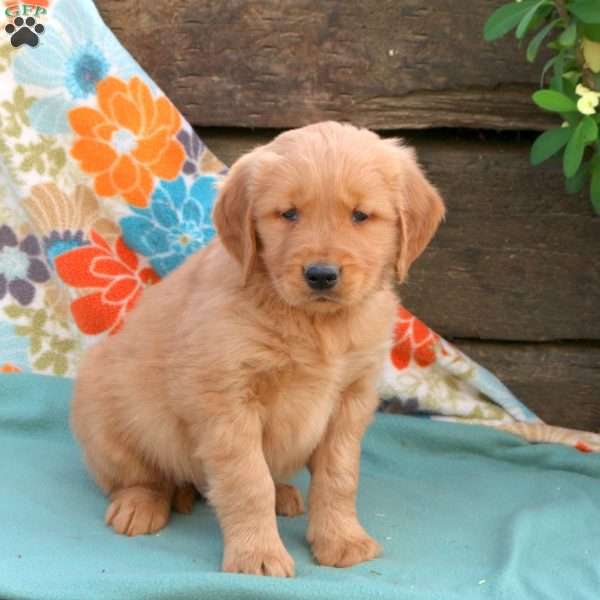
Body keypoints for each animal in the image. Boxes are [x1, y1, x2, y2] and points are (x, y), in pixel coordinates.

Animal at [70, 120, 446, 576]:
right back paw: (139, 504)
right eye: (289, 214)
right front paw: (258, 555)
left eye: (360, 216)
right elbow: (249, 482)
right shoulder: (226, 400)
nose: (321, 275)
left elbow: (339, 477)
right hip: (103, 411)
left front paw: (340, 539)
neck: (317, 324)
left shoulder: (351, 398)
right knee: (138, 475)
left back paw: (284, 493)